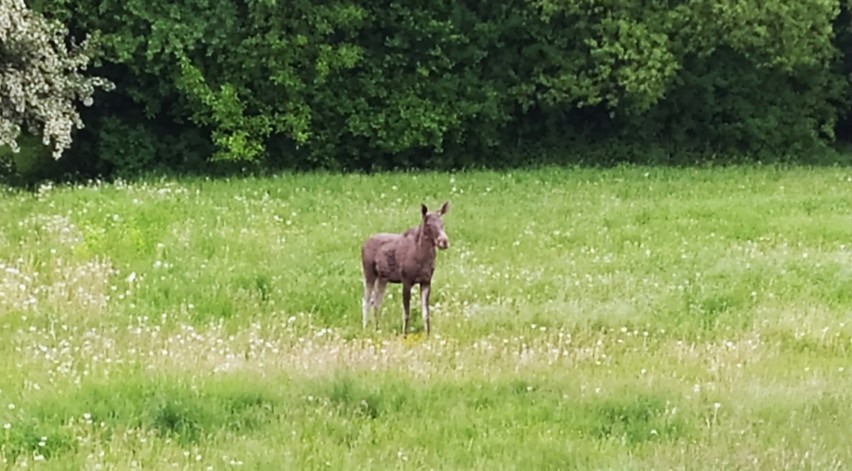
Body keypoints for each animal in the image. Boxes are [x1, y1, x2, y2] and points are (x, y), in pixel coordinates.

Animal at [362, 202, 452, 336]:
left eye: (442, 223)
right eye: (428, 224)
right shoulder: (406, 280)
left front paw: (428, 335)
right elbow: (406, 313)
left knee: (376, 302)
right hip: (369, 274)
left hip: (383, 278)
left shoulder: (426, 281)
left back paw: (377, 329)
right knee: (366, 301)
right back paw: (365, 329)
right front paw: (404, 335)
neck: (423, 257)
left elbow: (426, 313)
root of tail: (363, 244)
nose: (444, 241)